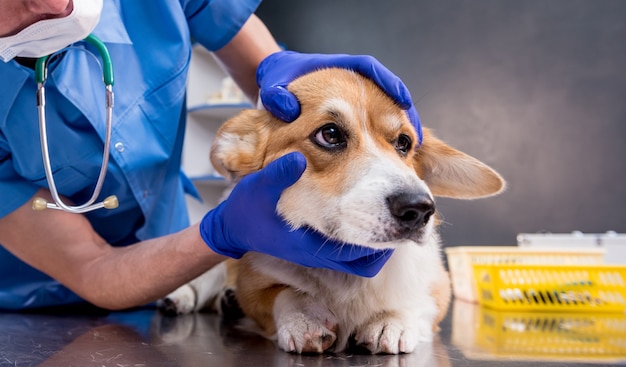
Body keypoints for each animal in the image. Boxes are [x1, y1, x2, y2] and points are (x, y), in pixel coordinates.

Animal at [161, 67, 502, 356]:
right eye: (330, 134)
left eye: (404, 142)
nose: (419, 208)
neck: (344, 269)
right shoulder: (255, 286)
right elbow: (285, 293)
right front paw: (304, 318)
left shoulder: (438, 287)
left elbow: (413, 301)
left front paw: (390, 320)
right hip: (218, 256)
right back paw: (180, 299)